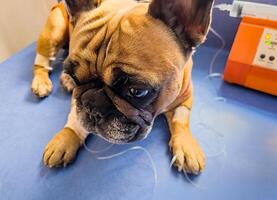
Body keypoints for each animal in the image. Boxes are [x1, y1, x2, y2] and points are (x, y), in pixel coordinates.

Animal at [31, 0, 213, 174]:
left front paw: (186, 146)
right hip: (55, 29)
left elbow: (181, 119)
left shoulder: (185, 96)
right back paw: (42, 82)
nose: (92, 107)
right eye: (77, 78)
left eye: (137, 91)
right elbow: (75, 117)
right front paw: (66, 138)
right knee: (41, 61)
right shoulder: (77, 100)